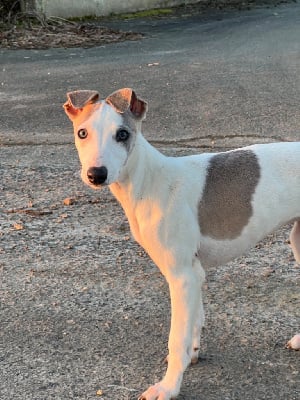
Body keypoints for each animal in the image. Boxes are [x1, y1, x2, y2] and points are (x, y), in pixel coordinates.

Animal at [63, 88, 300, 400]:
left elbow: (176, 338)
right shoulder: (192, 273)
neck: (150, 182)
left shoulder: (181, 275)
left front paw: (168, 386)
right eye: (82, 133)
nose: (96, 174)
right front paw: (192, 355)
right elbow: (194, 322)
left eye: (123, 134)